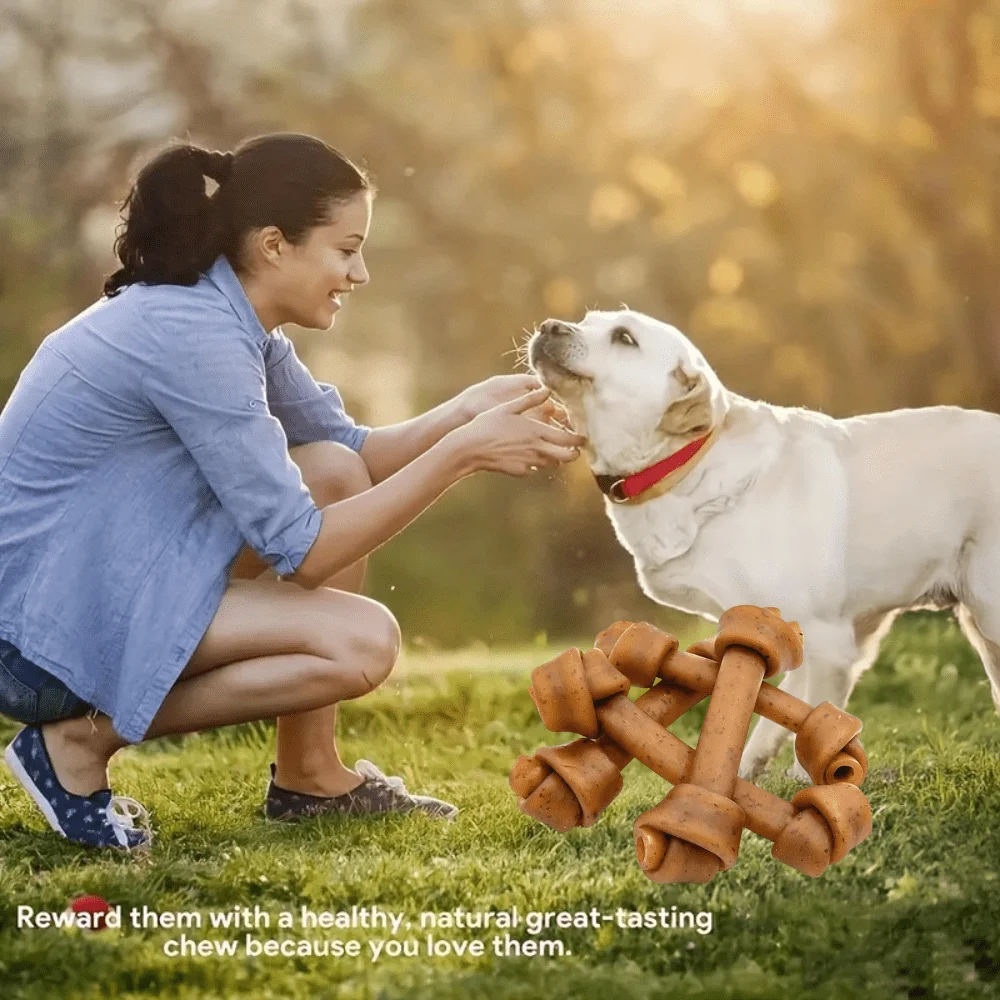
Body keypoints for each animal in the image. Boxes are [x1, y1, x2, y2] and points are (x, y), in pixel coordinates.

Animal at [528, 310, 996, 780]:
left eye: (624, 338)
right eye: (587, 319)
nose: (549, 326)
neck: (687, 464)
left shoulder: (829, 639)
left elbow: (819, 721)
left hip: (987, 609)